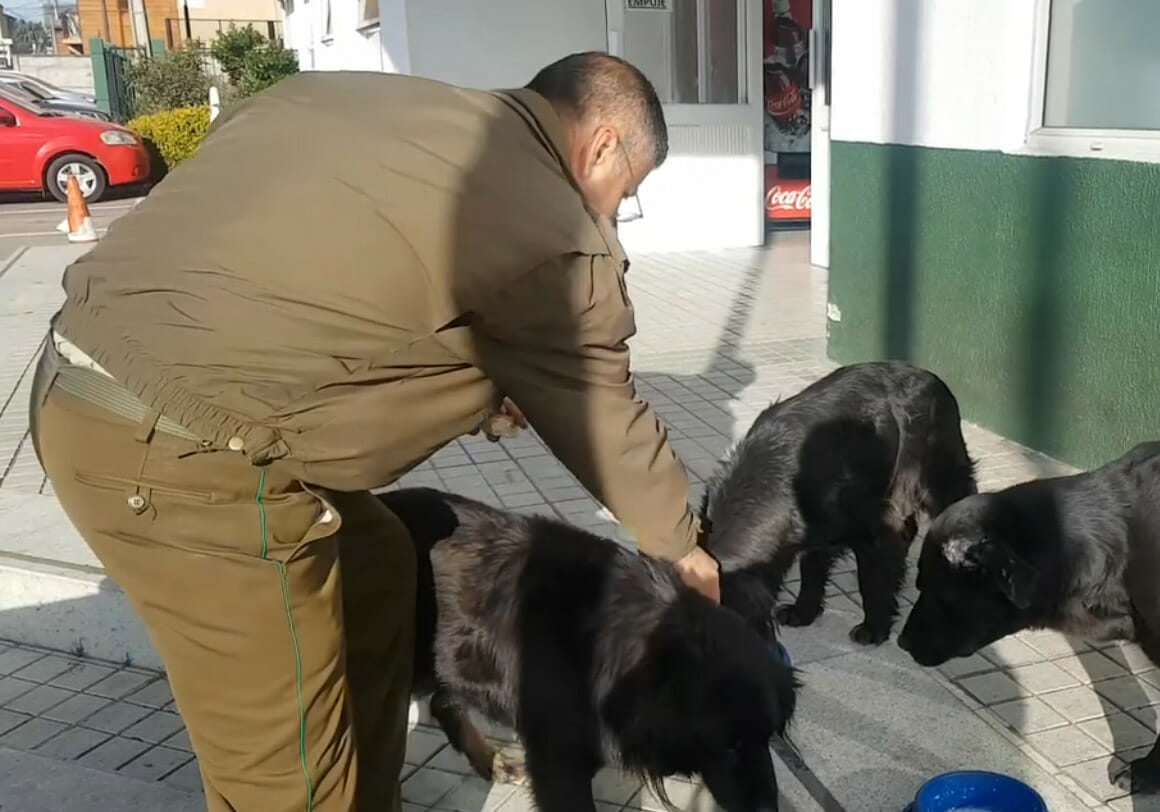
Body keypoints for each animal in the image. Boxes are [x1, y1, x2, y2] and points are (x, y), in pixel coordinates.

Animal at [380, 484, 798, 812]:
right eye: (728, 747)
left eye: (770, 736)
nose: (768, 810)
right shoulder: (557, 761)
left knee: (441, 701)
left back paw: (491, 762)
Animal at [696, 361, 979, 644]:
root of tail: (930, 376)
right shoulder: (813, 530)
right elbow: (812, 570)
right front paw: (803, 611)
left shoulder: (871, 526)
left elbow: (872, 581)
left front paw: (874, 627)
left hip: (938, 481)